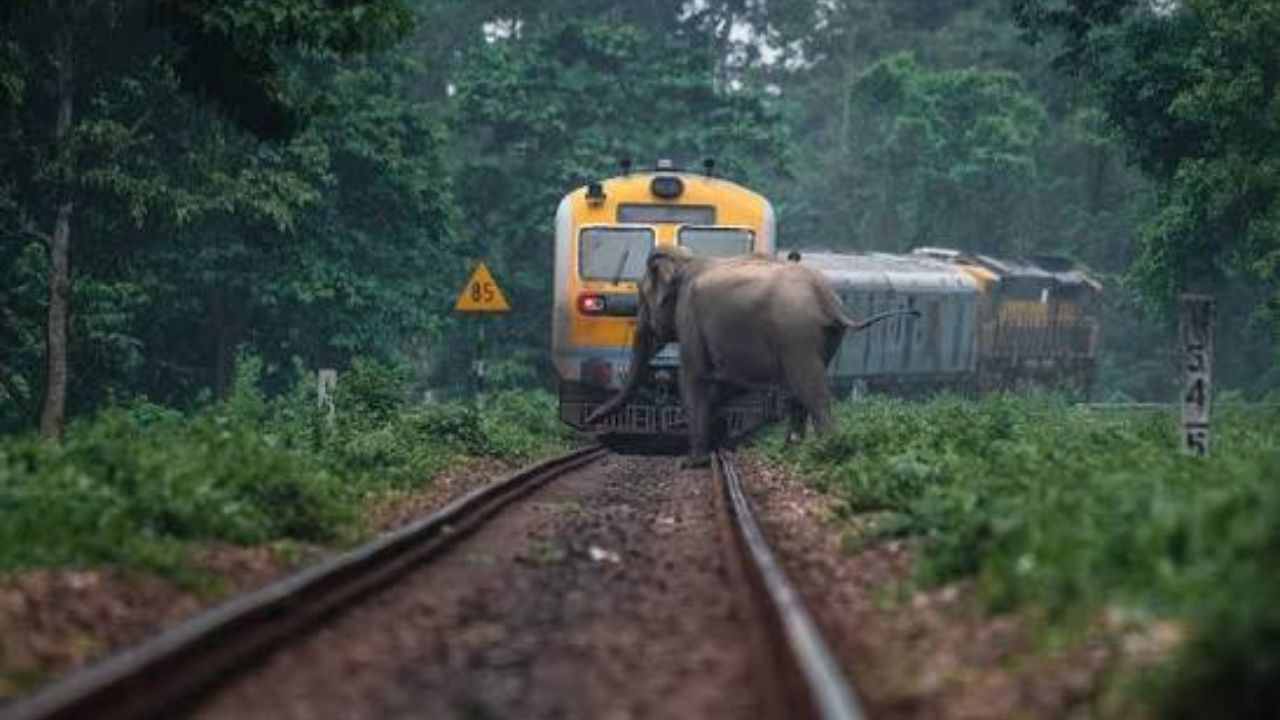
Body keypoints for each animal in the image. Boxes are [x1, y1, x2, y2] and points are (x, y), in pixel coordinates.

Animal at [585, 246, 919, 466]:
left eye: (642, 297)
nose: (591, 421)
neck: (689, 259)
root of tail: (828, 299)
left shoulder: (690, 317)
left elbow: (694, 377)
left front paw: (692, 462)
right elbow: (725, 385)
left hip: (795, 332)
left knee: (811, 391)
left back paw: (828, 453)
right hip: (824, 339)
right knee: (801, 392)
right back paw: (790, 452)